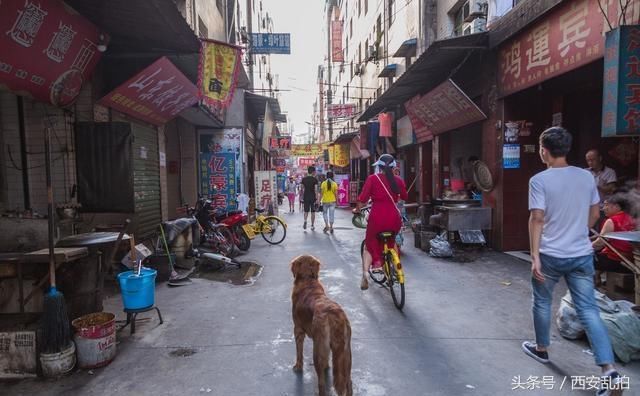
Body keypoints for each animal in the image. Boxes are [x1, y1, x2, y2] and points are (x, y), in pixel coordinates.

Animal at [292, 255, 352, 394]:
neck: (308, 280)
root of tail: (334, 313)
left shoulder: (298, 330)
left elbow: (299, 352)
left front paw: (298, 366)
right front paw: (327, 366)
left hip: (317, 349)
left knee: (321, 383)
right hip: (346, 353)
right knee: (348, 382)